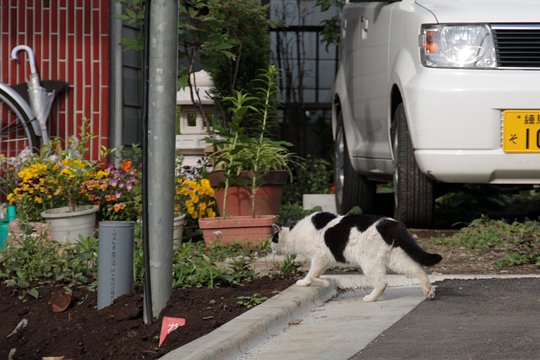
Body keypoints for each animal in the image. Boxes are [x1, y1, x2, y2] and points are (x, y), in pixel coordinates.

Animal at [270, 211, 442, 300]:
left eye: (272, 240)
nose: (271, 251)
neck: (295, 233)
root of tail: (390, 222)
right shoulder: (326, 261)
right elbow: (316, 274)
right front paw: (324, 281)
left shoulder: (320, 257)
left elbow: (311, 274)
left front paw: (309, 282)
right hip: (396, 259)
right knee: (418, 268)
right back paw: (428, 291)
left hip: (369, 263)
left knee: (382, 283)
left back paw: (371, 298)